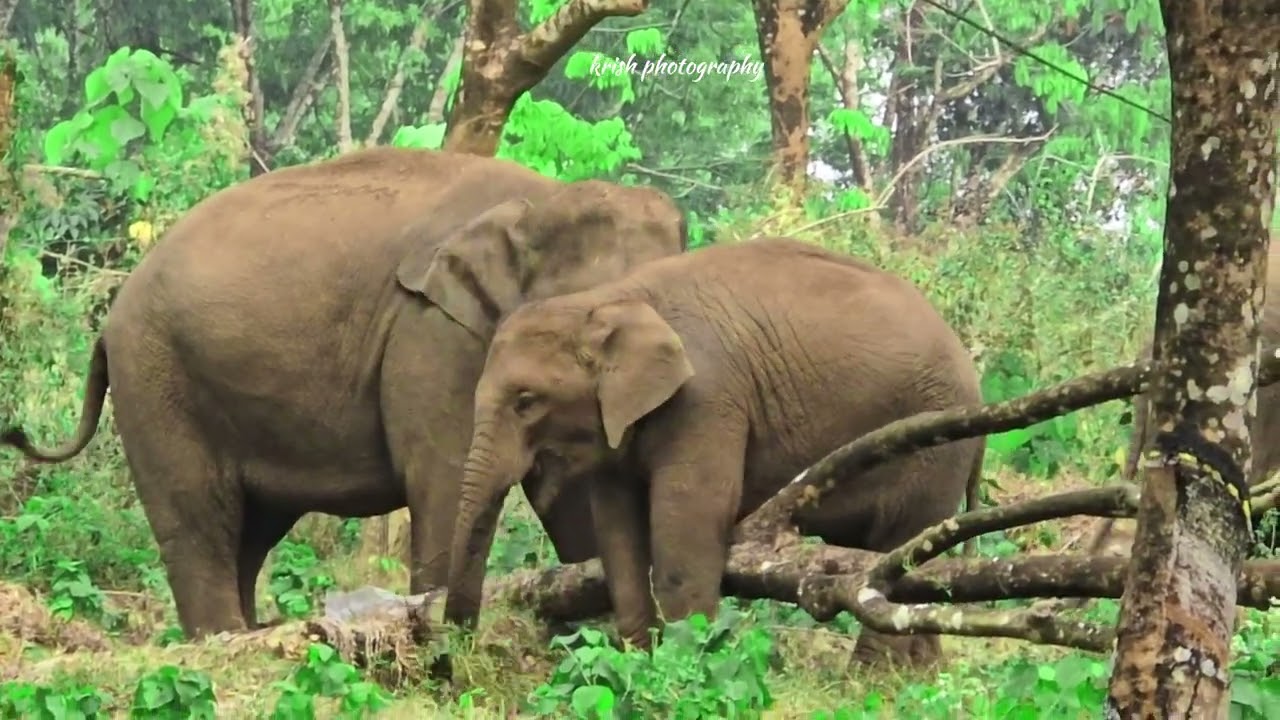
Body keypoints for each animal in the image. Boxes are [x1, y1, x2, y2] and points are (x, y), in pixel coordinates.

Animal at [1, 146, 688, 639]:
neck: (542, 200)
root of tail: (109, 322)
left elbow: (565, 494)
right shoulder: (433, 336)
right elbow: (441, 477)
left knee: (250, 529)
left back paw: (250, 630)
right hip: (155, 376)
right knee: (195, 520)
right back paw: (222, 639)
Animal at [443, 236, 986, 669]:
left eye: (526, 401)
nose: (449, 663)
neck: (608, 299)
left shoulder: (707, 398)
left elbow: (690, 518)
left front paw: (686, 666)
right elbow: (618, 533)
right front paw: (639, 665)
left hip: (934, 450)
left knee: (900, 555)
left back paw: (868, 682)